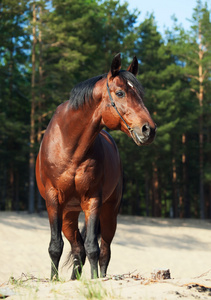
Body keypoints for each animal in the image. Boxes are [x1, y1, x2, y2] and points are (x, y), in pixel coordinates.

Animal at [35, 54, 156, 282]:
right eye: (120, 92)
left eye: (140, 94)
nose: (149, 129)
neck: (69, 146)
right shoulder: (53, 200)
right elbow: (56, 246)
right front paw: (54, 280)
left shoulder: (92, 200)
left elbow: (93, 248)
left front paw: (95, 281)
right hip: (69, 214)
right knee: (77, 248)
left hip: (109, 213)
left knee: (103, 250)